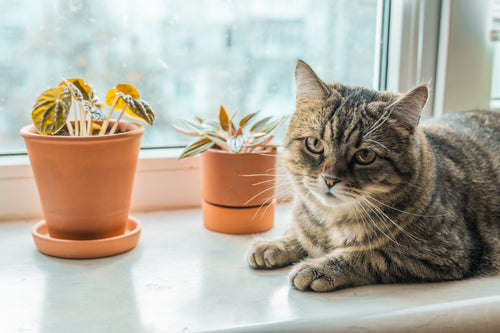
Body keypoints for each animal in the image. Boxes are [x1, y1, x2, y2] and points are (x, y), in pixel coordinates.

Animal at [245, 59, 500, 290]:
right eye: (314, 143)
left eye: (365, 155)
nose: (330, 179)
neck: (331, 221)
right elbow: (300, 233)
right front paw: (274, 245)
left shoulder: (445, 252)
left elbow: (368, 254)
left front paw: (316, 267)